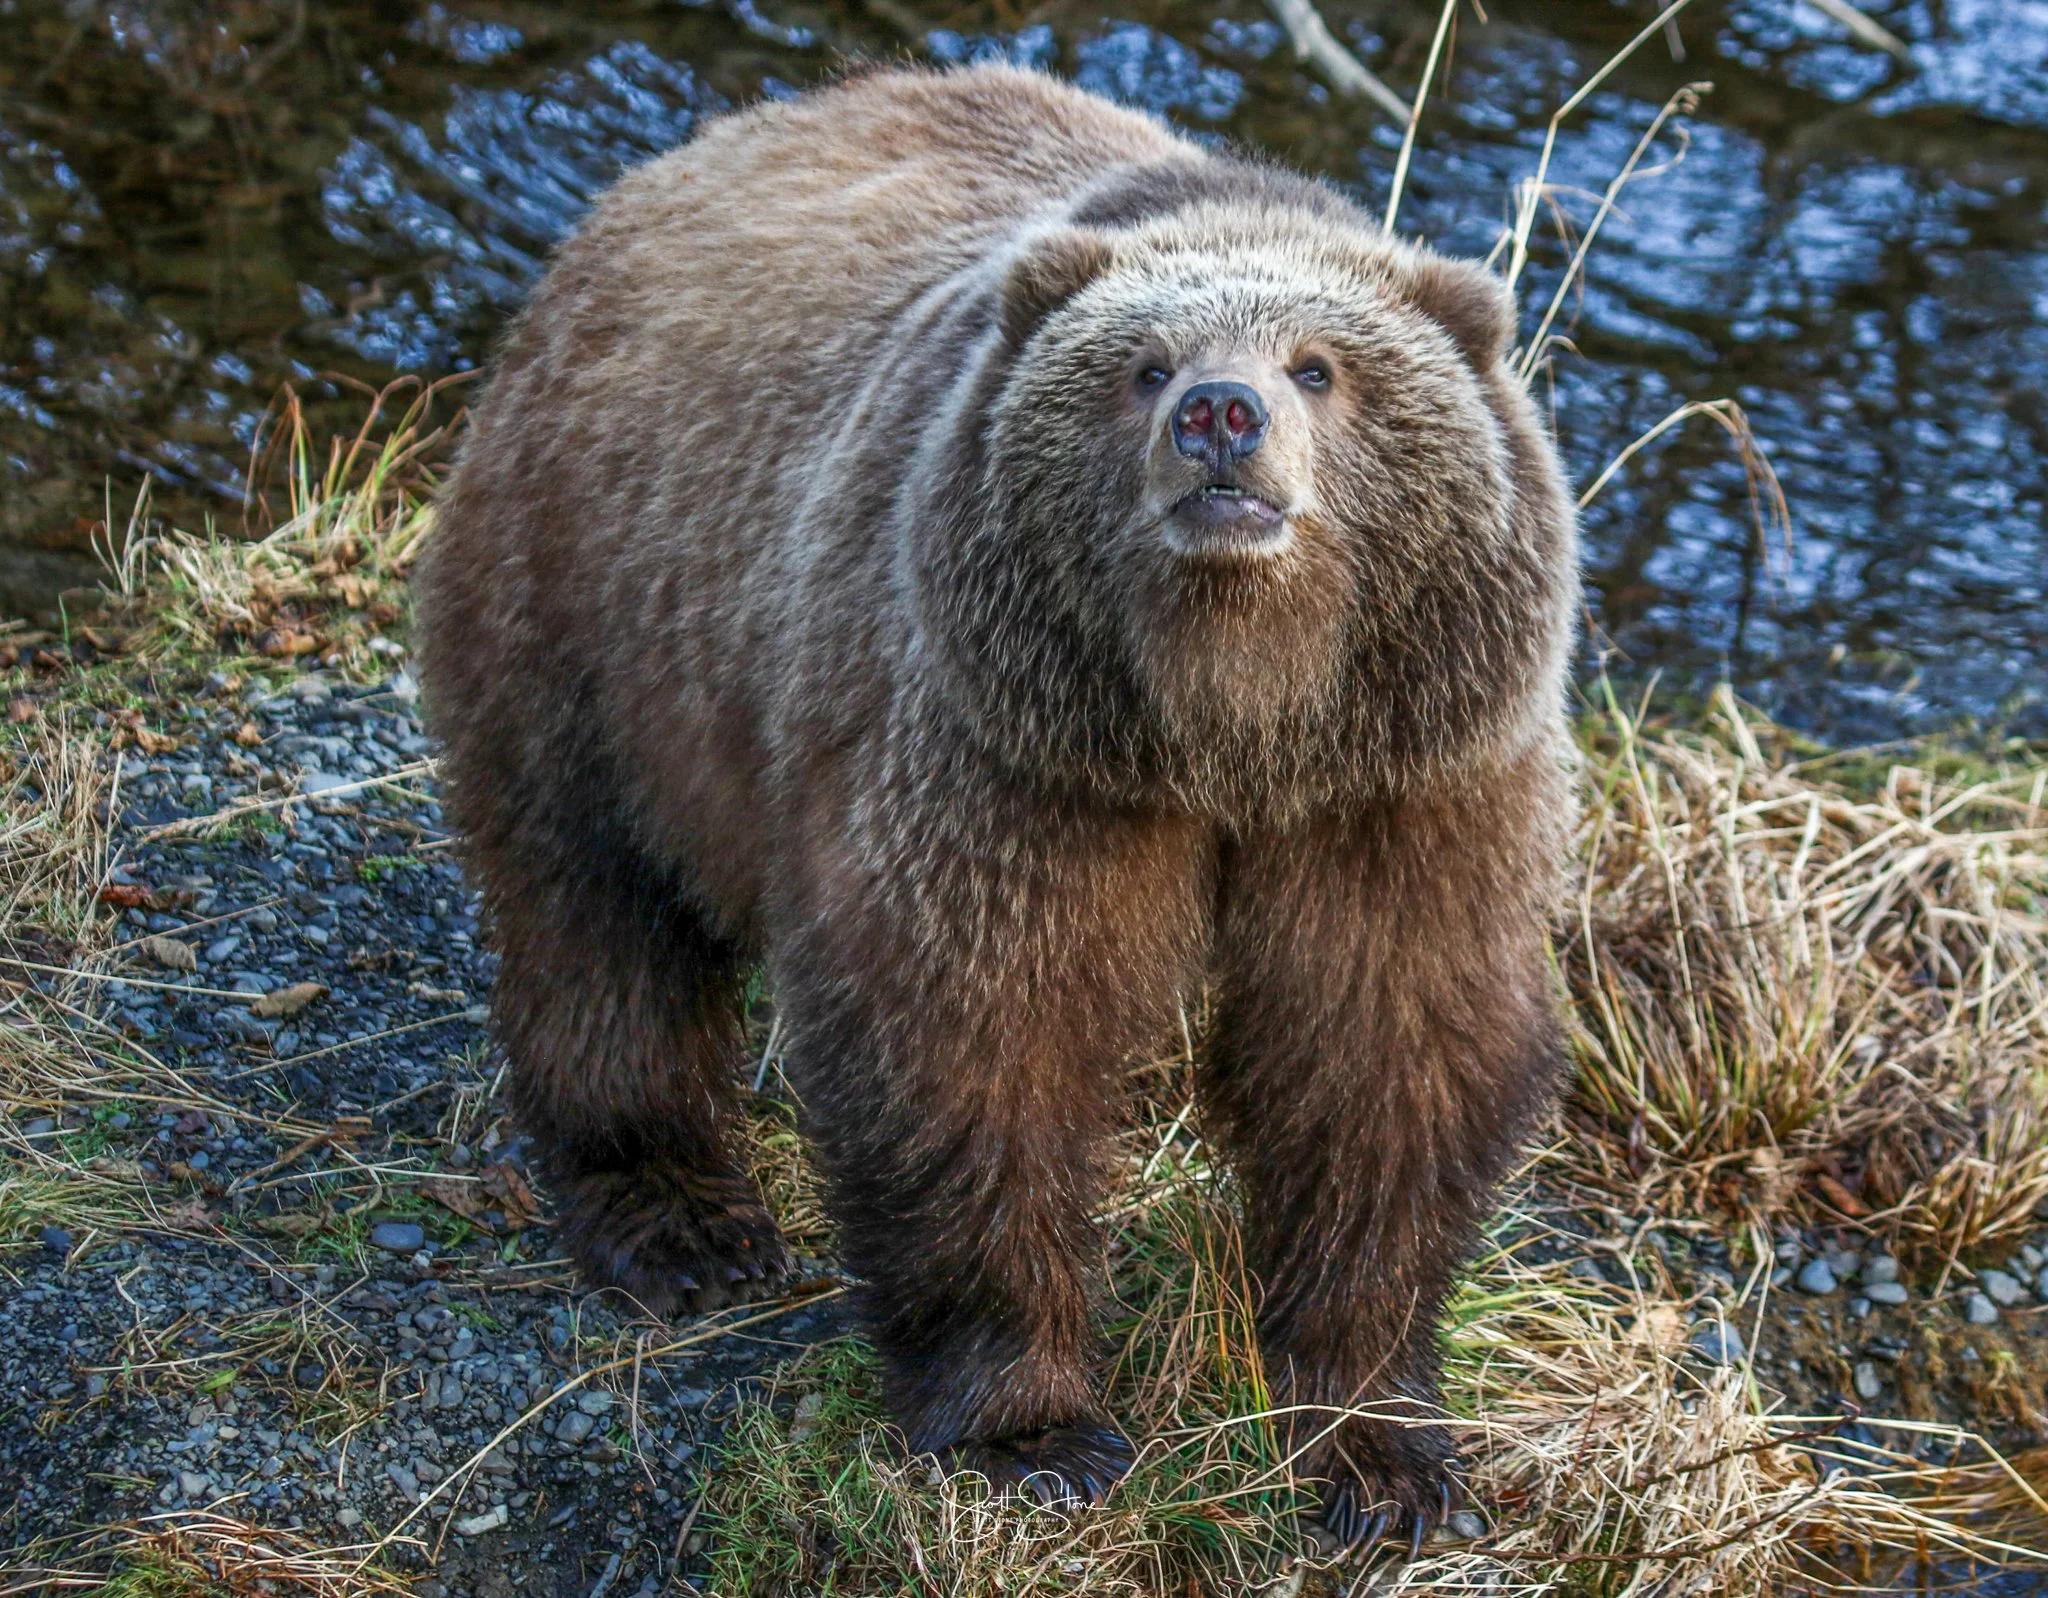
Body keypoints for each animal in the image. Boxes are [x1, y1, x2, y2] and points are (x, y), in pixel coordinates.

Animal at [416, 63, 1578, 1548]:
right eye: (1144, 365)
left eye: (1321, 363)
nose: (1219, 414)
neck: (1224, 727)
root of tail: (683, 160)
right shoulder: (1003, 765)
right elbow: (968, 1041)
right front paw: (1033, 1429)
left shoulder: (1401, 792)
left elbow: (1385, 1061)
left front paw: (1382, 1451)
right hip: (596, 606)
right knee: (598, 906)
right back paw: (682, 1220)